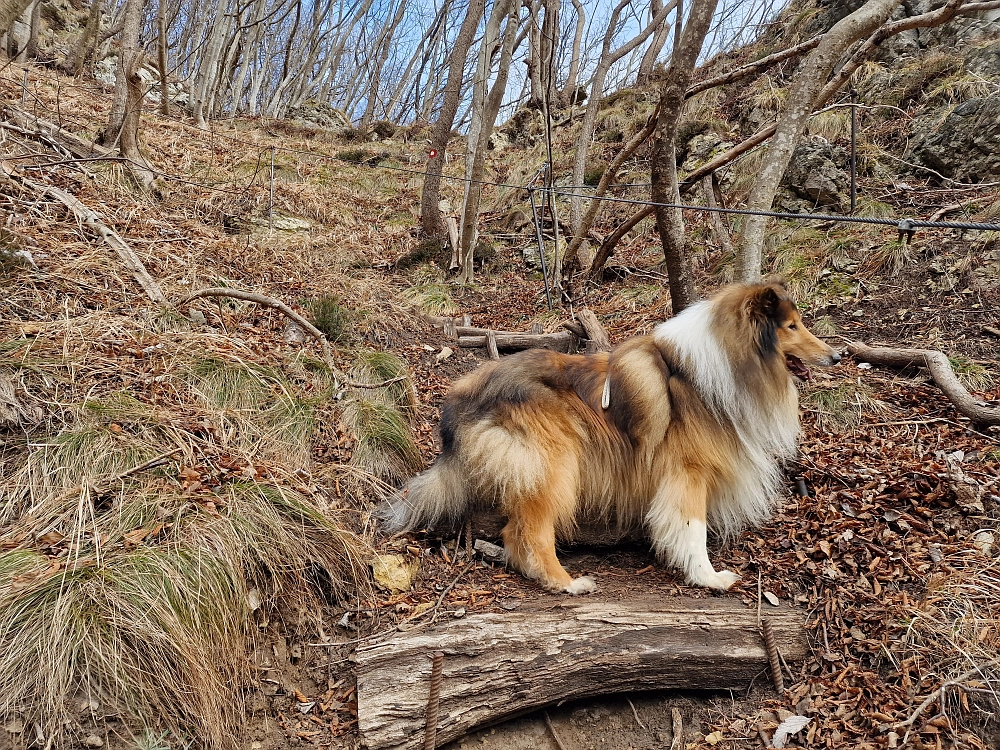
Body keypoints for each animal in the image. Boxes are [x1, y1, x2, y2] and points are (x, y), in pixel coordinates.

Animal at [386, 282, 840, 592]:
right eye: (791, 326)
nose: (837, 356)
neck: (722, 367)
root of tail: (463, 393)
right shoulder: (688, 472)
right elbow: (692, 528)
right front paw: (708, 577)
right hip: (556, 465)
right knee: (529, 533)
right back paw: (565, 582)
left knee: (515, 533)